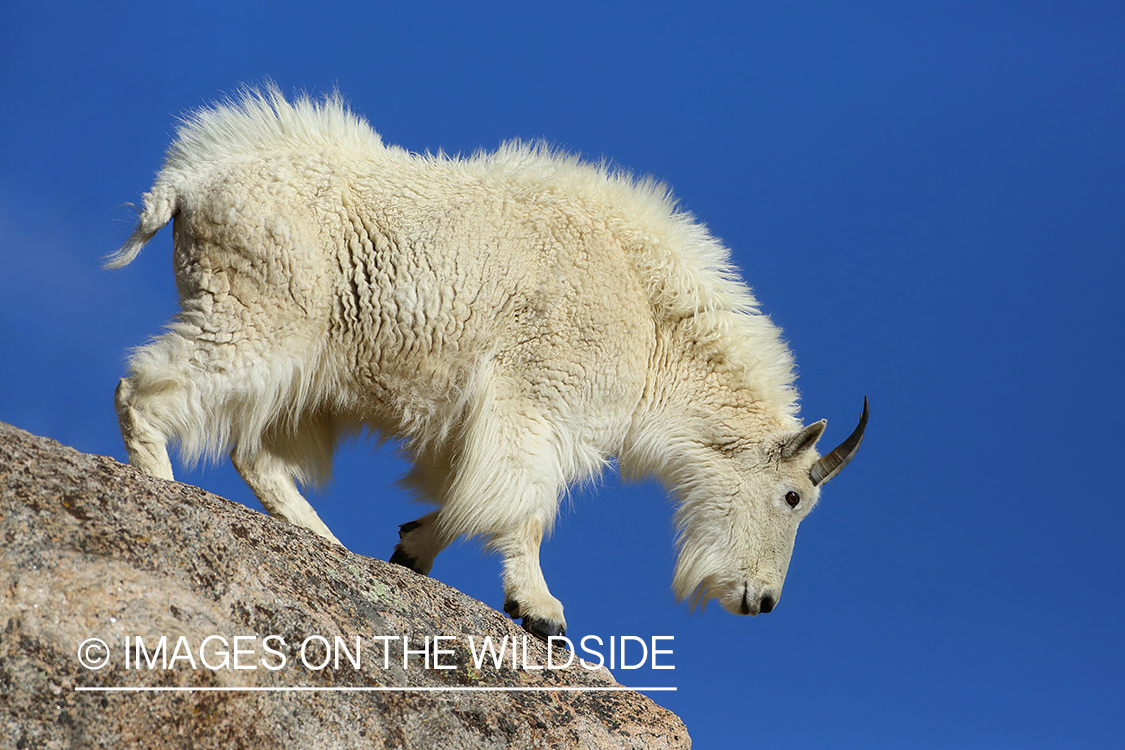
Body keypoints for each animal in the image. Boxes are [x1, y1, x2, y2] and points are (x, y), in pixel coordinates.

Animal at [109, 88, 864, 638]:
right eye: (793, 497)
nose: (760, 600)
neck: (652, 325)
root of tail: (187, 183)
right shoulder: (537, 403)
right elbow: (520, 506)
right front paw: (539, 609)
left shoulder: (485, 419)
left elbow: (465, 494)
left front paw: (410, 549)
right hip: (254, 317)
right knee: (145, 390)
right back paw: (160, 489)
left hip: (302, 367)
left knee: (255, 450)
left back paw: (325, 541)